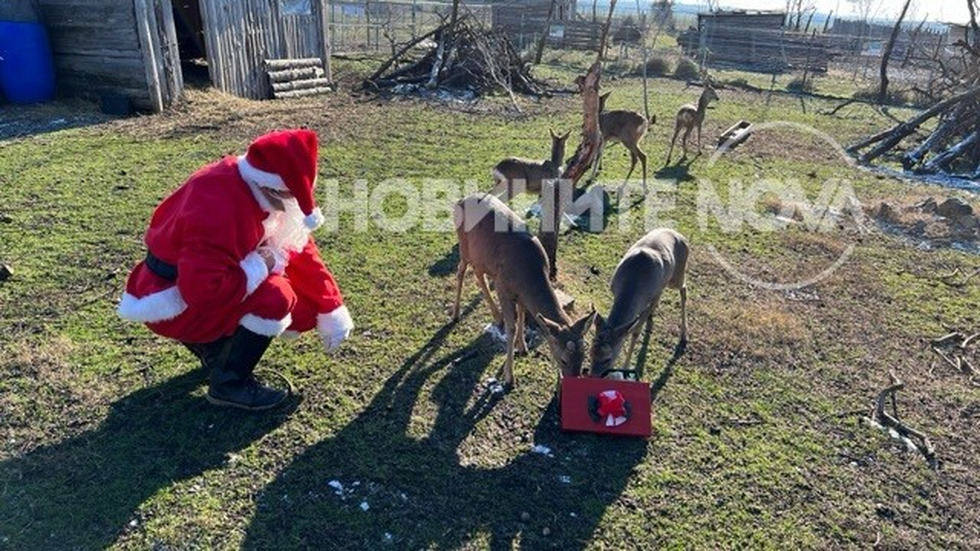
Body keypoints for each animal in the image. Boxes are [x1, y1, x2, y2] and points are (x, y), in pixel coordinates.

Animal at [452, 193, 596, 388]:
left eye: (583, 357)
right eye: (564, 360)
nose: (571, 381)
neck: (529, 270)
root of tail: (460, 201)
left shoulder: (520, 293)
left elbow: (521, 314)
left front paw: (523, 347)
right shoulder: (502, 285)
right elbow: (511, 327)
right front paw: (509, 377)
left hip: (481, 256)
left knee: (478, 273)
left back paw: (496, 316)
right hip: (464, 246)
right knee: (461, 271)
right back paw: (456, 315)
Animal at [588, 229, 688, 380]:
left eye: (608, 359)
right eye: (590, 352)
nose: (592, 376)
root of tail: (681, 236)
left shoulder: (653, 296)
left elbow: (635, 331)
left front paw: (626, 369)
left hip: (676, 276)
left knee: (684, 288)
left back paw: (683, 335)